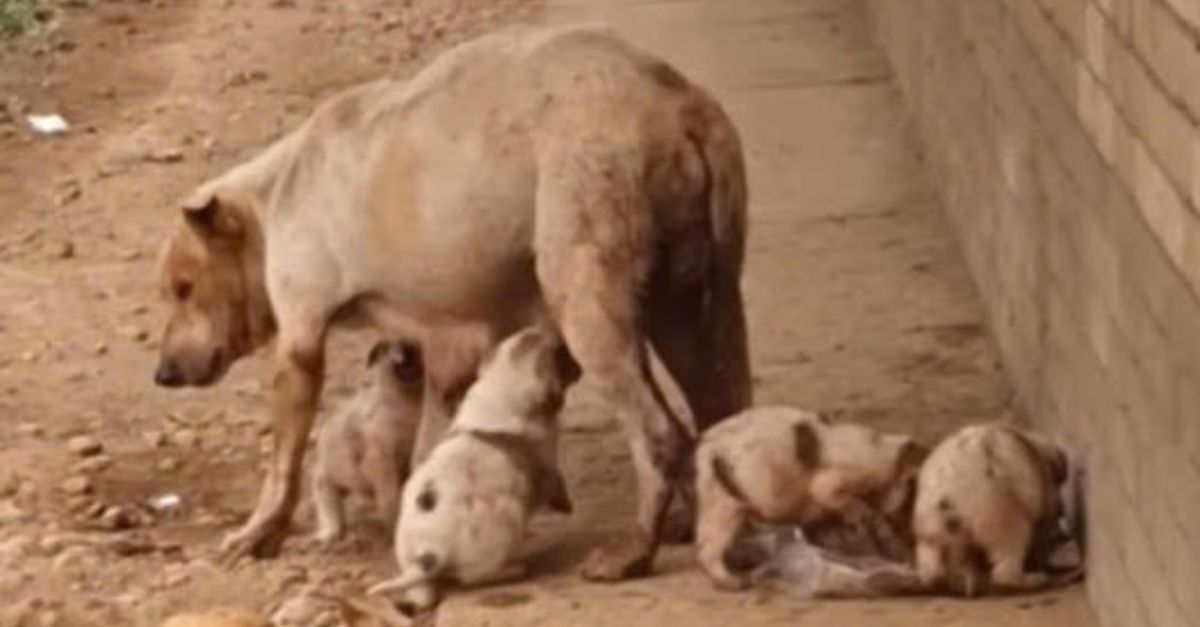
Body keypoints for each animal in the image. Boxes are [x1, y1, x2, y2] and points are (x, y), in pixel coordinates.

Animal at [309, 338, 427, 542]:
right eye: (385, 347)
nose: (407, 348)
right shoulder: (379, 459)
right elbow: (390, 498)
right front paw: (394, 526)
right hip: (325, 478)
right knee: (326, 503)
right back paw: (328, 535)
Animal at [369, 324, 585, 607]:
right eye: (565, 354)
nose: (582, 368)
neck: (503, 384)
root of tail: (428, 556)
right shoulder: (546, 461)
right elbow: (556, 481)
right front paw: (566, 506)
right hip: (506, 523)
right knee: (475, 577)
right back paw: (515, 569)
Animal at [912, 422, 1075, 593]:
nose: (1062, 508)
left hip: (931, 521)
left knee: (937, 550)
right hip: (996, 505)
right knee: (1008, 547)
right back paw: (1031, 579)